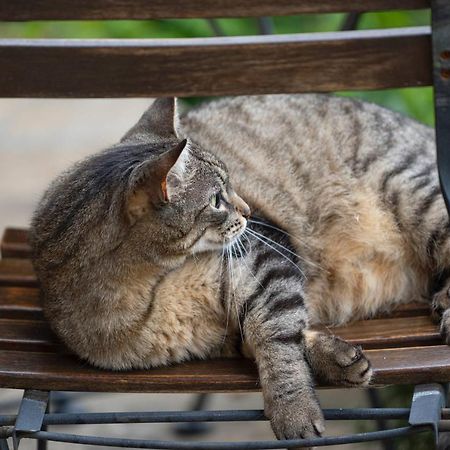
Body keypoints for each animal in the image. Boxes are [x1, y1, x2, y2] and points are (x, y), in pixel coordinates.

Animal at [29, 95, 448, 442]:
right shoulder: (217, 337)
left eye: (231, 186)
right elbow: (276, 336)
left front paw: (293, 411)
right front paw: (334, 357)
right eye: (217, 199)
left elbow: (276, 338)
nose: (246, 209)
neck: (153, 291)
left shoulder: (264, 257)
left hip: (412, 190)